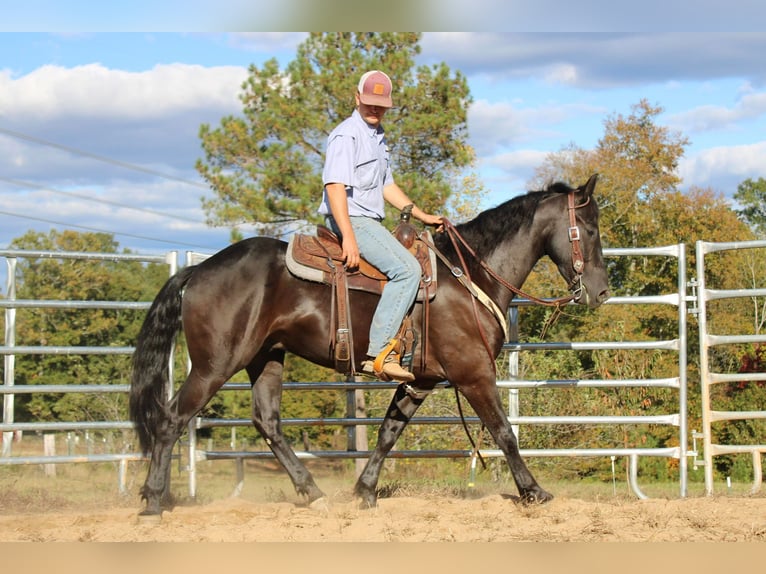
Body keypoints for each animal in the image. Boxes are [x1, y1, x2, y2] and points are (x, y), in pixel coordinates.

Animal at [132, 174, 612, 516]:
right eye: (590, 230)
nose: (601, 292)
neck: (468, 276)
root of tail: (198, 270)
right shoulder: (474, 374)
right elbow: (504, 433)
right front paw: (533, 491)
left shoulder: (420, 381)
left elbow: (388, 432)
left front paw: (364, 491)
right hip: (215, 365)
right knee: (172, 420)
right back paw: (154, 500)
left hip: (266, 358)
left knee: (267, 423)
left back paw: (313, 492)